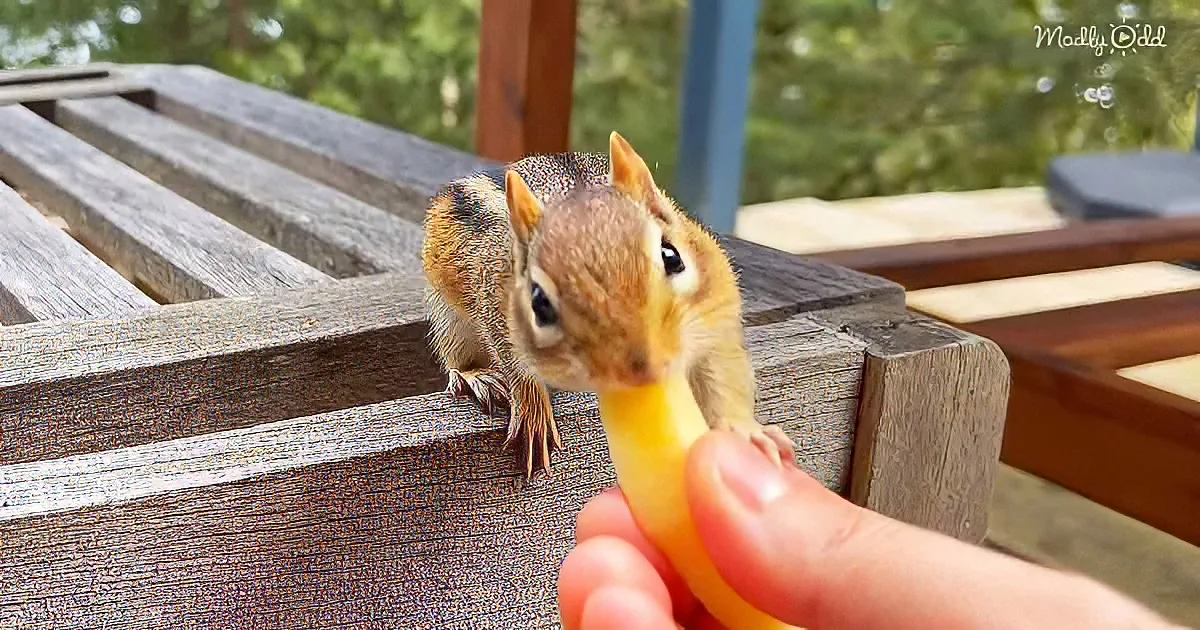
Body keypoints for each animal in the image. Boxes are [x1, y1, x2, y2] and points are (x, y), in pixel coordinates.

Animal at [421, 131, 795, 477]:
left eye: (671, 256)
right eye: (538, 301)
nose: (642, 368)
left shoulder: (716, 313)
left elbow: (722, 372)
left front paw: (745, 431)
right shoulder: (498, 306)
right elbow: (517, 365)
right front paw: (533, 410)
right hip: (449, 317)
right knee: (456, 355)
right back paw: (474, 376)